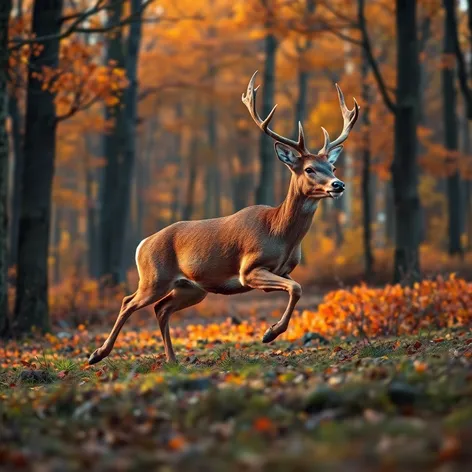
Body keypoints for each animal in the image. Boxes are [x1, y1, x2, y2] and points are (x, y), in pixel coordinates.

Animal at [87, 71, 358, 366]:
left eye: (332, 167)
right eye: (309, 169)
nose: (338, 185)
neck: (279, 233)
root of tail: (142, 244)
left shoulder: (281, 271)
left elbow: (295, 288)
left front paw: (271, 332)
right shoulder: (248, 269)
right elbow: (296, 288)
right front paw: (269, 334)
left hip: (192, 288)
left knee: (161, 309)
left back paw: (172, 359)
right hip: (154, 278)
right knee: (129, 301)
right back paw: (97, 354)